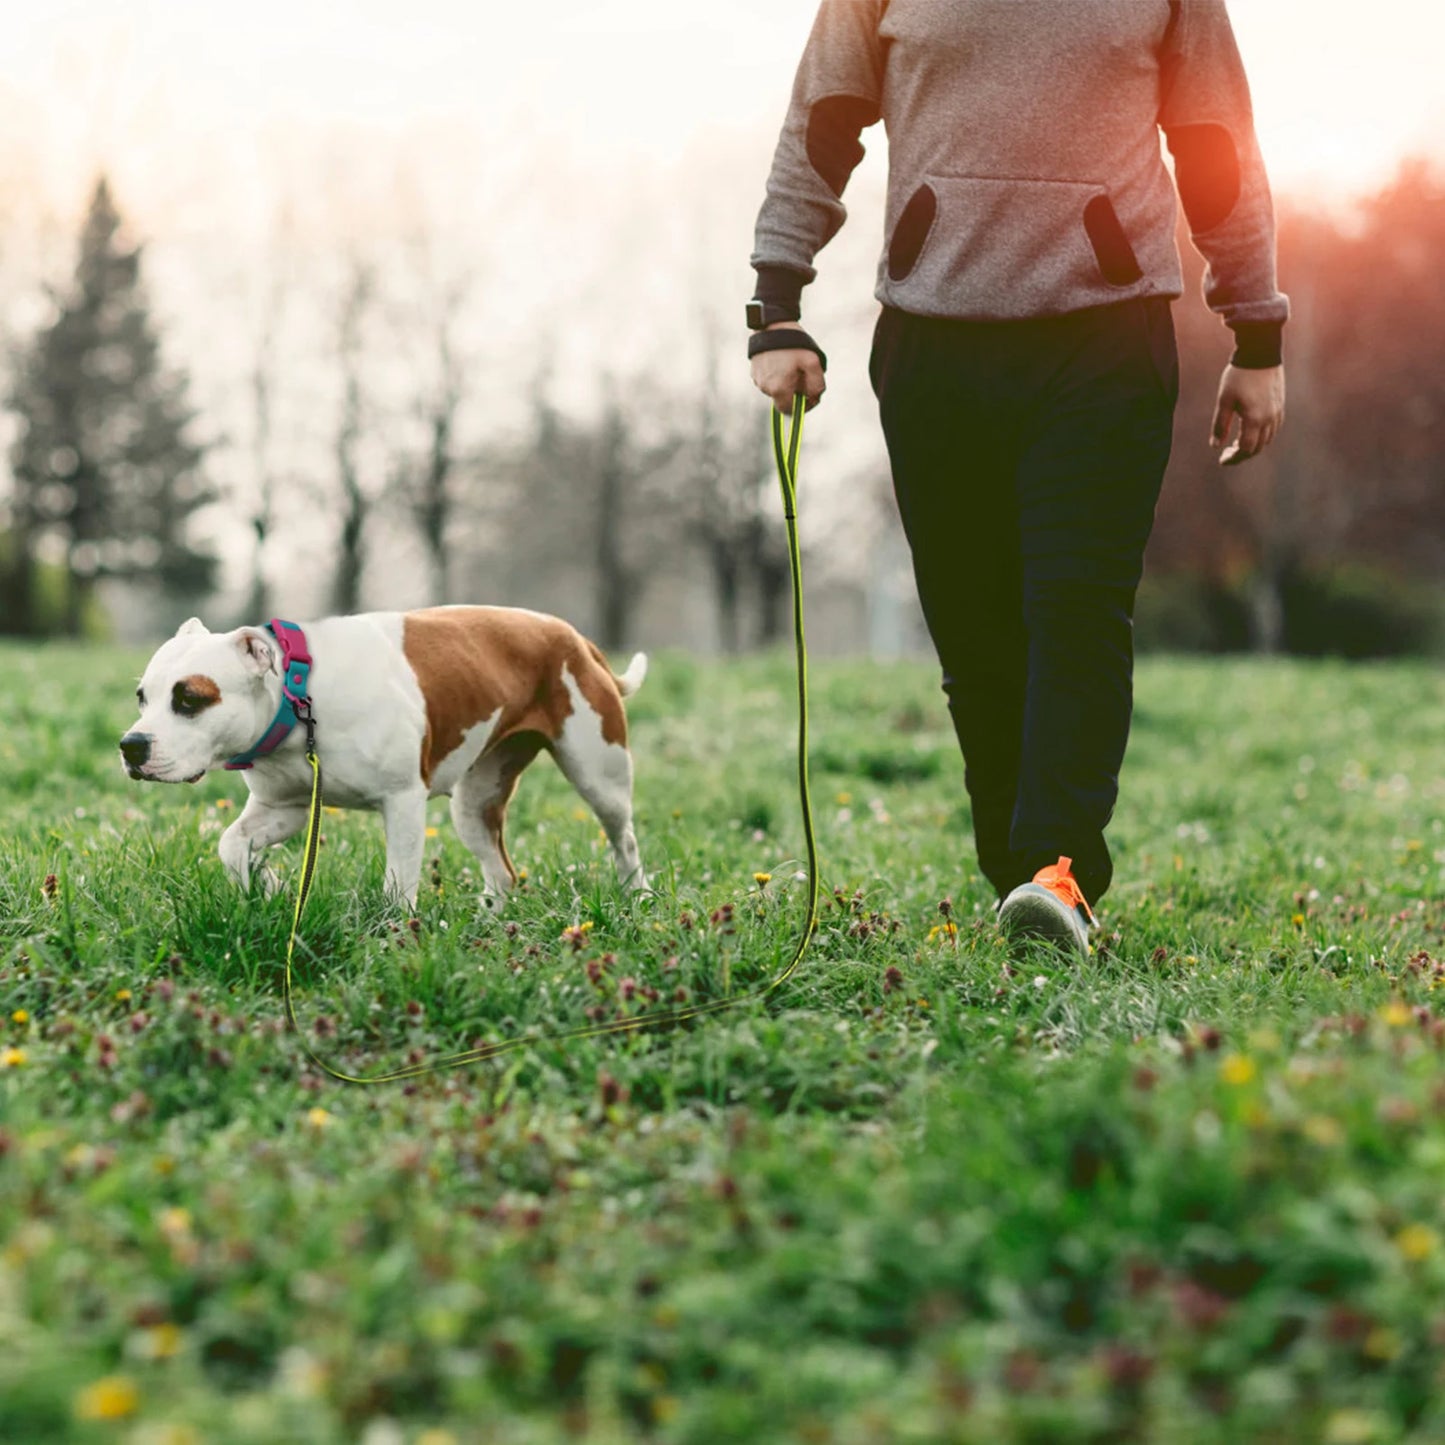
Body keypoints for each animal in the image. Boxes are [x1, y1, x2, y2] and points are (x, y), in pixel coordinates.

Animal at [118, 606, 650, 907]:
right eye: (141, 697)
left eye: (190, 699)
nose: (131, 745)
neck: (299, 698)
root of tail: (576, 638)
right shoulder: (284, 808)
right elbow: (232, 845)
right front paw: (267, 887)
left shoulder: (403, 802)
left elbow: (398, 885)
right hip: (475, 803)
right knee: (502, 873)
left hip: (600, 775)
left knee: (624, 839)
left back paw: (637, 898)